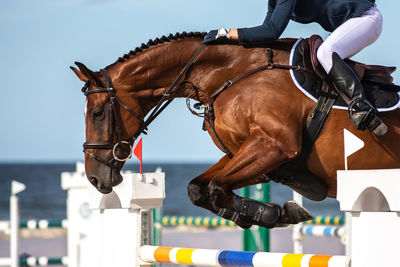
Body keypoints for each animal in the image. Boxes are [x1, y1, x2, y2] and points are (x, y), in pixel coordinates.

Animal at [71, 32, 400, 229]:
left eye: (97, 114)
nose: (95, 177)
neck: (229, 75)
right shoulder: (257, 158)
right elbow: (199, 189)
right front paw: (267, 215)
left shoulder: (274, 147)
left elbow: (217, 187)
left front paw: (274, 214)